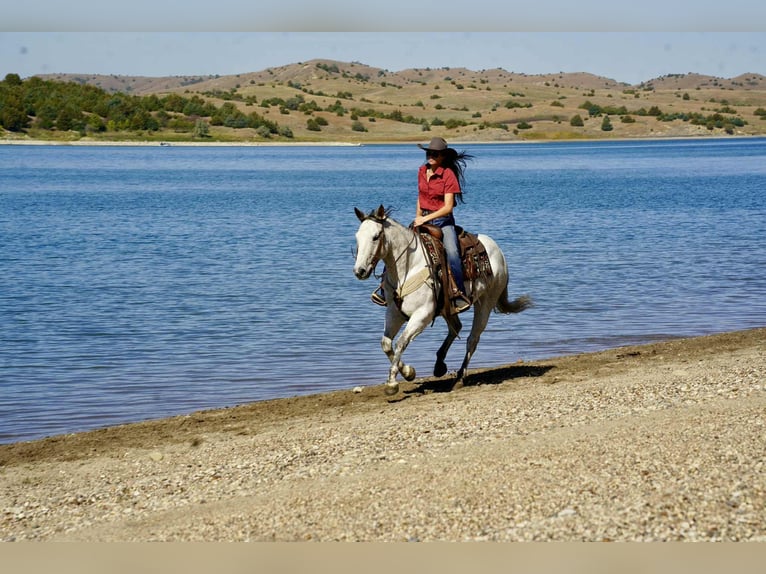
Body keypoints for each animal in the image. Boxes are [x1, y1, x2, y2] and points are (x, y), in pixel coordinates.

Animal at [354, 205, 532, 396]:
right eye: (357, 237)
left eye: (376, 236)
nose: (359, 271)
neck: (409, 267)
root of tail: (497, 250)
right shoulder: (394, 313)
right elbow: (386, 344)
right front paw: (409, 372)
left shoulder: (422, 315)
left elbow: (401, 342)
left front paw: (393, 383)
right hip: (449, 308)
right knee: (456, 328)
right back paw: (439, 365)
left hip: (486, 303)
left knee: (472, 339)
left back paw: (460, 377)